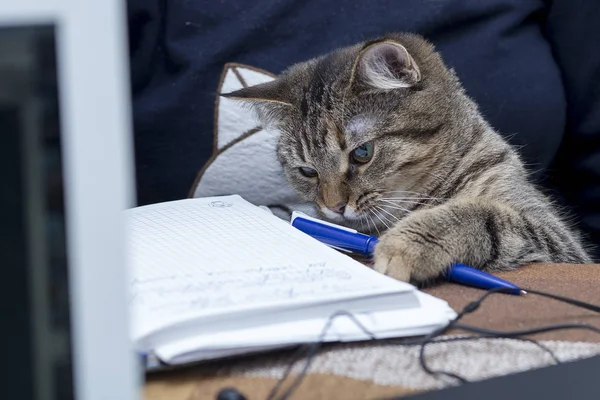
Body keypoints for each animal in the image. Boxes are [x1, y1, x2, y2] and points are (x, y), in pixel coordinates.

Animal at [224, 34, 592, 282]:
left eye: (362, 153)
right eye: (307, 170)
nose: (332, 207)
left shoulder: (555, 236)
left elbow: (483, 215)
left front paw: (408, 243)